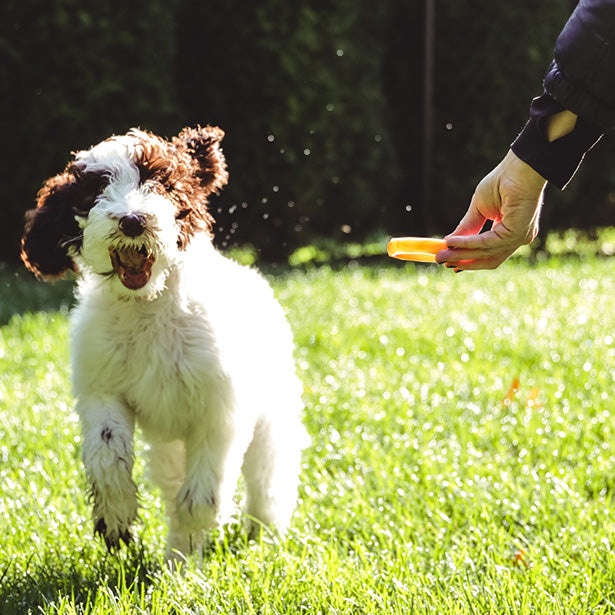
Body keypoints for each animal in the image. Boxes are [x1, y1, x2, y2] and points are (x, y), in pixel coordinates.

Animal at [20, 126, 308, 564]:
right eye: (94, 191)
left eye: (163, 183)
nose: (132, 221)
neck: (149, 308)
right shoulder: (102, 389)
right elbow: (107, 454)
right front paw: (116, 518)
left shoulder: (220, 411)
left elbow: (201, 498)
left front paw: (185, 562)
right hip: (169, 444)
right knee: (174, 481)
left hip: (271, 416)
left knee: (269, 478)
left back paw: (265, 536)